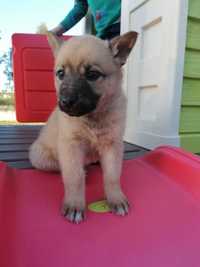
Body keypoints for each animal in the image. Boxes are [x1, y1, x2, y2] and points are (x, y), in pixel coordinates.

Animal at [29, 29, 138, 224]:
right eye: (60, 73)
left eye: (92, 75)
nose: (65, 102)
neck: (93, 117)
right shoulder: (71, 145)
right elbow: (74, 176)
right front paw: (75, 204)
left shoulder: (113, 145)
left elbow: (112, 175)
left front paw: (116, 199)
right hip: (40, 156)